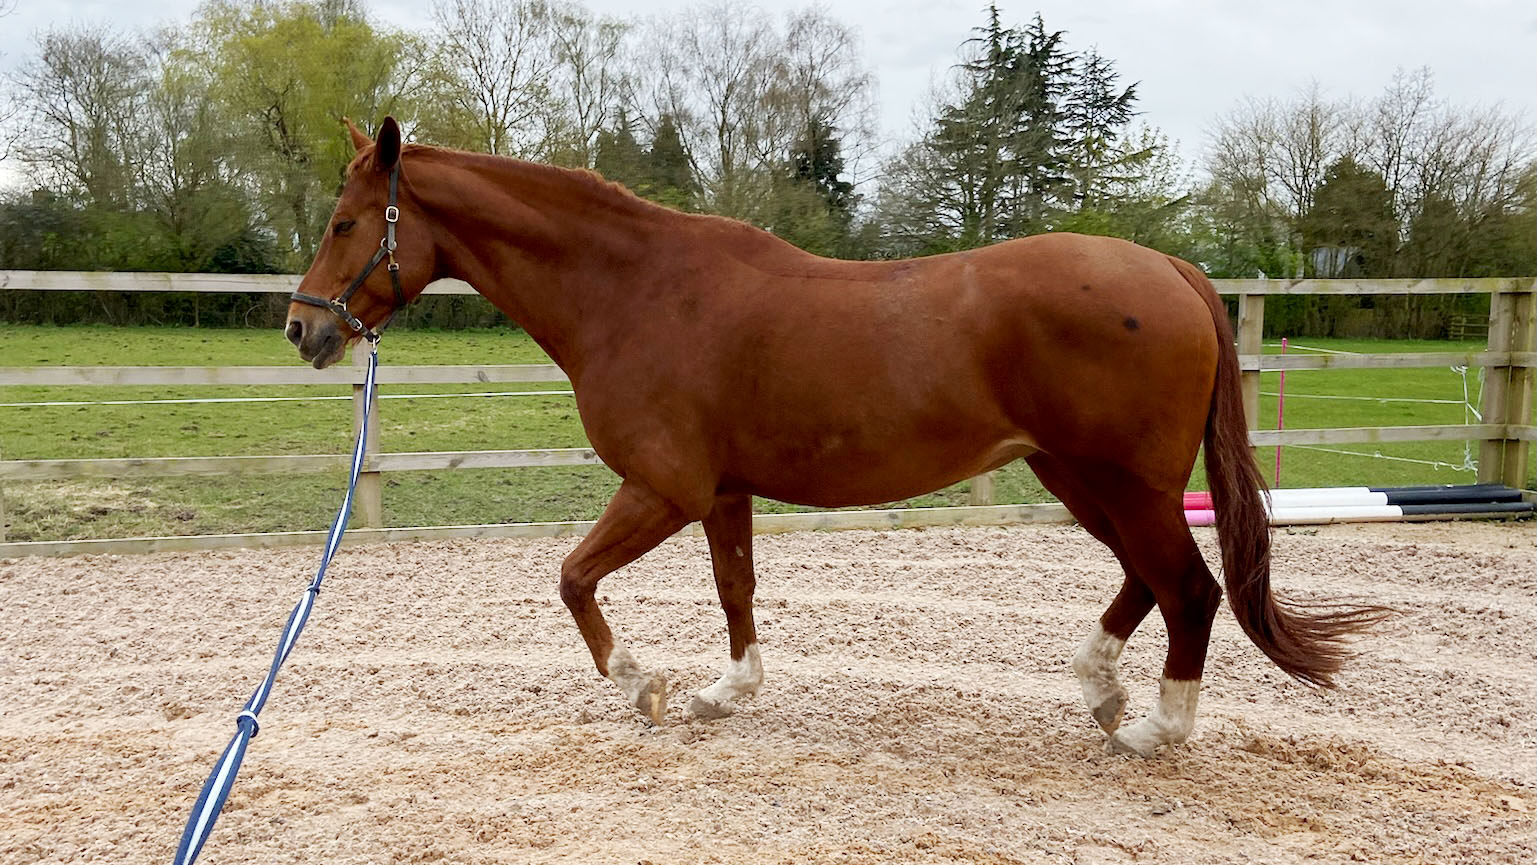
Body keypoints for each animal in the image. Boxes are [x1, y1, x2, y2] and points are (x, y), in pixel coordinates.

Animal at [284, 117, 1385, 757]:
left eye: (344, 222)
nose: (302, 328)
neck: (636, 291)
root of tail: (1170, 269)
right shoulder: (722, 492)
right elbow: (735, 589)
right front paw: (721, 694)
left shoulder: (664, 489)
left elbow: (572, 578)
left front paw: (645, 685)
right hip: (1082, 476)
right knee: (1147, 581)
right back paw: (1101, 691)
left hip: (1123, 481)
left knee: (1188, 590)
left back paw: (1156, 724)